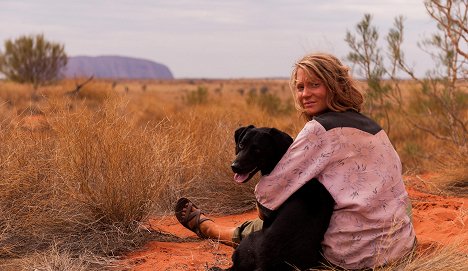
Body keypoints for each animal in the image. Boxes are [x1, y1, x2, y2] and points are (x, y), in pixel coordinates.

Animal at [210, 126, 334, 270]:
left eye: (257, 149)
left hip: (247, 241)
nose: (235, 167)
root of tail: (267, 266)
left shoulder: (266, 217)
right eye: (241, 144)